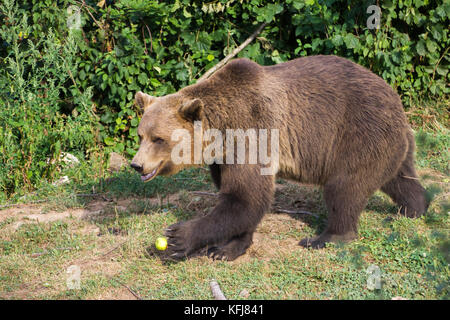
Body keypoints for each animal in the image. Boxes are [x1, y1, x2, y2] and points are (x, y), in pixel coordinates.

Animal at [131, 55, 428, 260]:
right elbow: (238, 199)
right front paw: (228, 246)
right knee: (400, 177)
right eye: (140, 134)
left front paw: (181, 236)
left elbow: (246, 198)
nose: (137, 165)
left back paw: (326, 237)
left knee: (344, 187)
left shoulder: (253, 134)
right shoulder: (224, 157)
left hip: (358, 133)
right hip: (389, 142)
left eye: (159, 139)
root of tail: (395, 98)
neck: (221, 133)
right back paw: (414, 208)